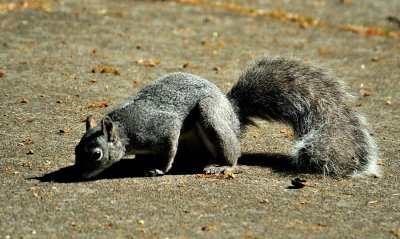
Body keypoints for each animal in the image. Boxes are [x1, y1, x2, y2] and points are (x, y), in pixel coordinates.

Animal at [74, 56, 378, 179]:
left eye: (96, 155)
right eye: (76, 149)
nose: (80, 174)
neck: (125, 128)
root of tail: (233, 115)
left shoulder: (162, 128)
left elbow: (168, 149)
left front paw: (159, 168)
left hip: (211, 116)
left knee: (233, 157)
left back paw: (222, 166)